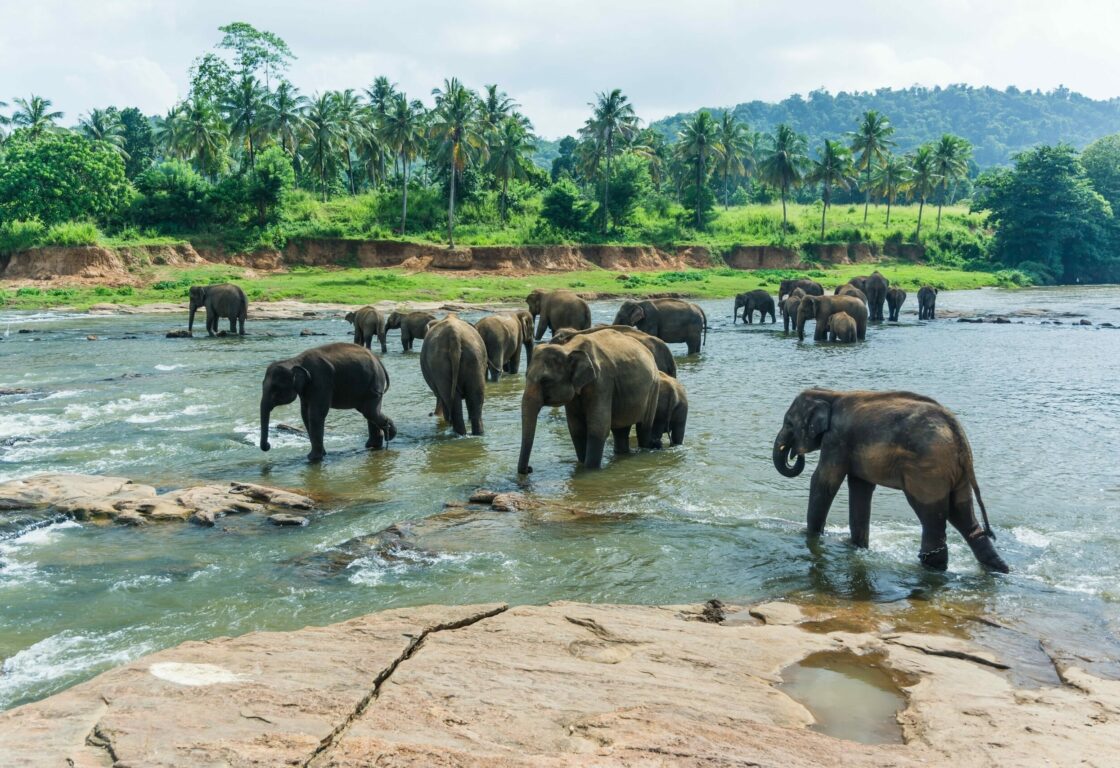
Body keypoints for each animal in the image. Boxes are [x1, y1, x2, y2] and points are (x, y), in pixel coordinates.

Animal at [259, 343, 395, 462]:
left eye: (275, 388)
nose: (268, 446)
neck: (295, 360)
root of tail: (378, 360)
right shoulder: (306, 389)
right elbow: (305, 414)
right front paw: (321, 454)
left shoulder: (321, 381)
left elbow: (316, 414)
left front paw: (313, 458)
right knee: (369, 412)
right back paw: (374, 445)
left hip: (375, 382)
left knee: (369, 411)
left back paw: (389, 436)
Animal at [517, 329, 659, 473]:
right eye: (526, 376)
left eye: (545, 381)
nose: (529, 469)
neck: (568, 348)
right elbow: (576, 429)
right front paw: (582, 464)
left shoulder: (602, 383)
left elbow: (598, 427)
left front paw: (590, 470)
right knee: (621, 430)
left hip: (654, 388)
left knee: (643, 427)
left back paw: (644, 450)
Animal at [771, 388, 1009, 573]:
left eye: (789, 423)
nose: (794, 453)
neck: (830, 394)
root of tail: (957, 431)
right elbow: (860, 487)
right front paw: (857, 547)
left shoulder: (837, 440)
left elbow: (824, 481)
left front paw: (810, 536)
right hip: (955, 472)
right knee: (962, 514)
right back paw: (998, 568)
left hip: (927, 470)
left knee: (931, 514)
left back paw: (932, 566)